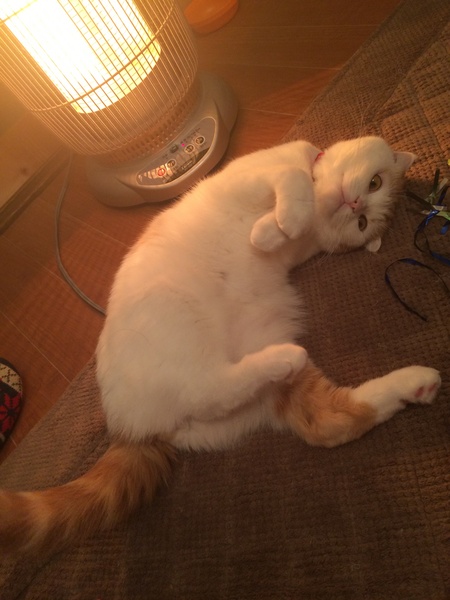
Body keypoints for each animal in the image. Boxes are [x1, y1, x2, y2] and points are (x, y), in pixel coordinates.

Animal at [0, 136, 441, 555]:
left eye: (363, 222)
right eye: (374, 183)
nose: (355, 204)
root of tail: (129, 430)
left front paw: (271, 230)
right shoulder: (250, 179)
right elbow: (292, 182)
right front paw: (277, 225)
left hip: (224, 363)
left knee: (278, 408)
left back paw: (403, 380)